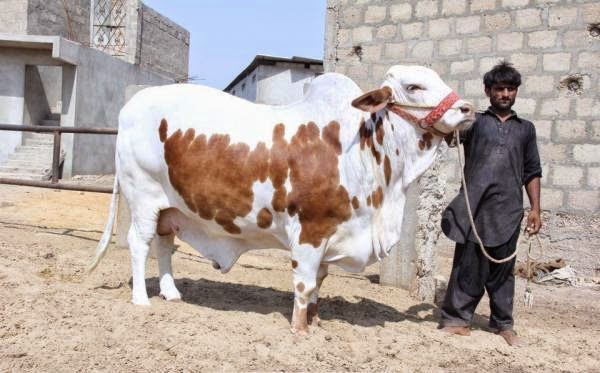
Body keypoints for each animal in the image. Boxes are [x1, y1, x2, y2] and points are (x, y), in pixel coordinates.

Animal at [89, 64, 474, 332]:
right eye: (414, 86)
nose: (467, 109)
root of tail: (131, 105)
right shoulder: (309, 230)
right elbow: (304, 284)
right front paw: (299, 329)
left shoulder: (330, 235)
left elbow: (318, 283)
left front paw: (316, 323)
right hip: (142, 197)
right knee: (140, 244)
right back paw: (141, 299)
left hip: (170, 208)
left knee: (165, 246)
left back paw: (171, 293)